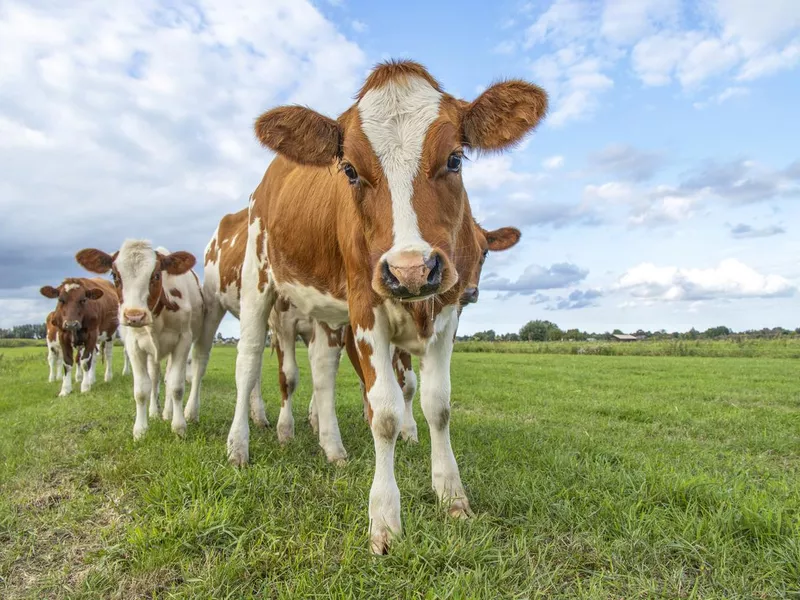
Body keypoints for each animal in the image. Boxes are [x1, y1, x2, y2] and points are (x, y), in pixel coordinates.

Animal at [75, 240, 206, 440]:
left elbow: (176, 386)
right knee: (155, 378)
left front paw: (179, 427)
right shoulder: (134, 346)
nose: (134, 316)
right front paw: (141, 430)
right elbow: (142, 389)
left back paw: (167, 412)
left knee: (167, 378)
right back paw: (155, 411)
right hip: (151, 353)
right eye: (114, 275)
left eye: (157, 275)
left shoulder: (183, 341)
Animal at [228, 58, 548, 552]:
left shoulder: (448, 311)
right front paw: (384, 518)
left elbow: (437, 403)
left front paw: (451, 494)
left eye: (455, 158)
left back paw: (332, 447)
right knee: (247, 364)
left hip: (326, 311)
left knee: (322, 370)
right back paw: (240, 446)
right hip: (257, 280)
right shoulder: (365, 305)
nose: (411, 270)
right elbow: (384, 413)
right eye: (349, 169)